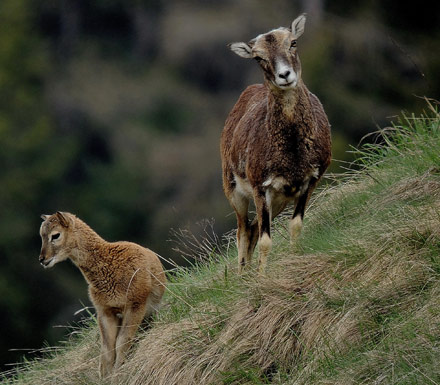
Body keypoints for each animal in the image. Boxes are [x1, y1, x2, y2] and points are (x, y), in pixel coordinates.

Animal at [39, 210, 167, 376]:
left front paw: (118, 374)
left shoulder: (136, 304)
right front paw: (106, 376)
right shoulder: (105, 311)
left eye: (55, 235)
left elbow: (122, 342)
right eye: (41, 235)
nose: (42, 259)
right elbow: (107, 350)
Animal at [222, 15, 332, 272]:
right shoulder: (261, 187)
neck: (292, 151)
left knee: (252, 228)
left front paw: (294, 257)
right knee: (243, 230)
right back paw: (243, 273)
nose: (285, 75)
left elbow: (296, 225)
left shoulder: (309, 181)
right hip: (234, 190)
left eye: (293, 42)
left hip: (279, 200)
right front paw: (263, 276)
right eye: (258, 57)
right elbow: (266, 241)